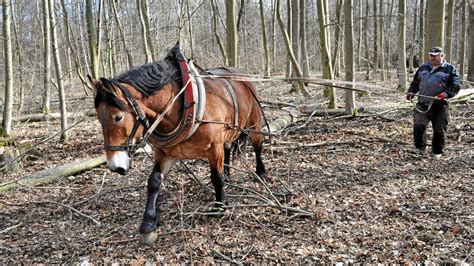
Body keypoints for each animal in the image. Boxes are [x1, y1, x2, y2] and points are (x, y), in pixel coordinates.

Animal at [89, 46, 266, 245]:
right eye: (98, 118)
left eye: (118, 117)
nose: (114, 166)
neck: (186, 104)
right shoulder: (165, 153)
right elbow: (154, 182)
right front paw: (149, 224)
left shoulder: (214, 148)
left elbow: (216, 178)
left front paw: (220, 206)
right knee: (228, 149)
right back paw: (228, 173)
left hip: (254, 124)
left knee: (257, 146)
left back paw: (261, 172)